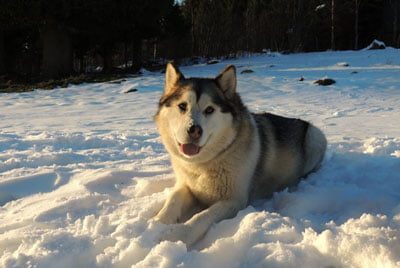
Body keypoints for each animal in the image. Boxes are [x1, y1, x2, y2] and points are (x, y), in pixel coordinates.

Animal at [154, 62, 328, 245]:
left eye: (209, 110)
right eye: (182, 106)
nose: (194, 130)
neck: (204, 163)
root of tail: (302, 121)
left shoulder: (234, 201)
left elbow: (202, 216)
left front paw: (179, 235)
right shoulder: (186, 186)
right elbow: (172, 201)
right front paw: (155, 224)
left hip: (315, 138)